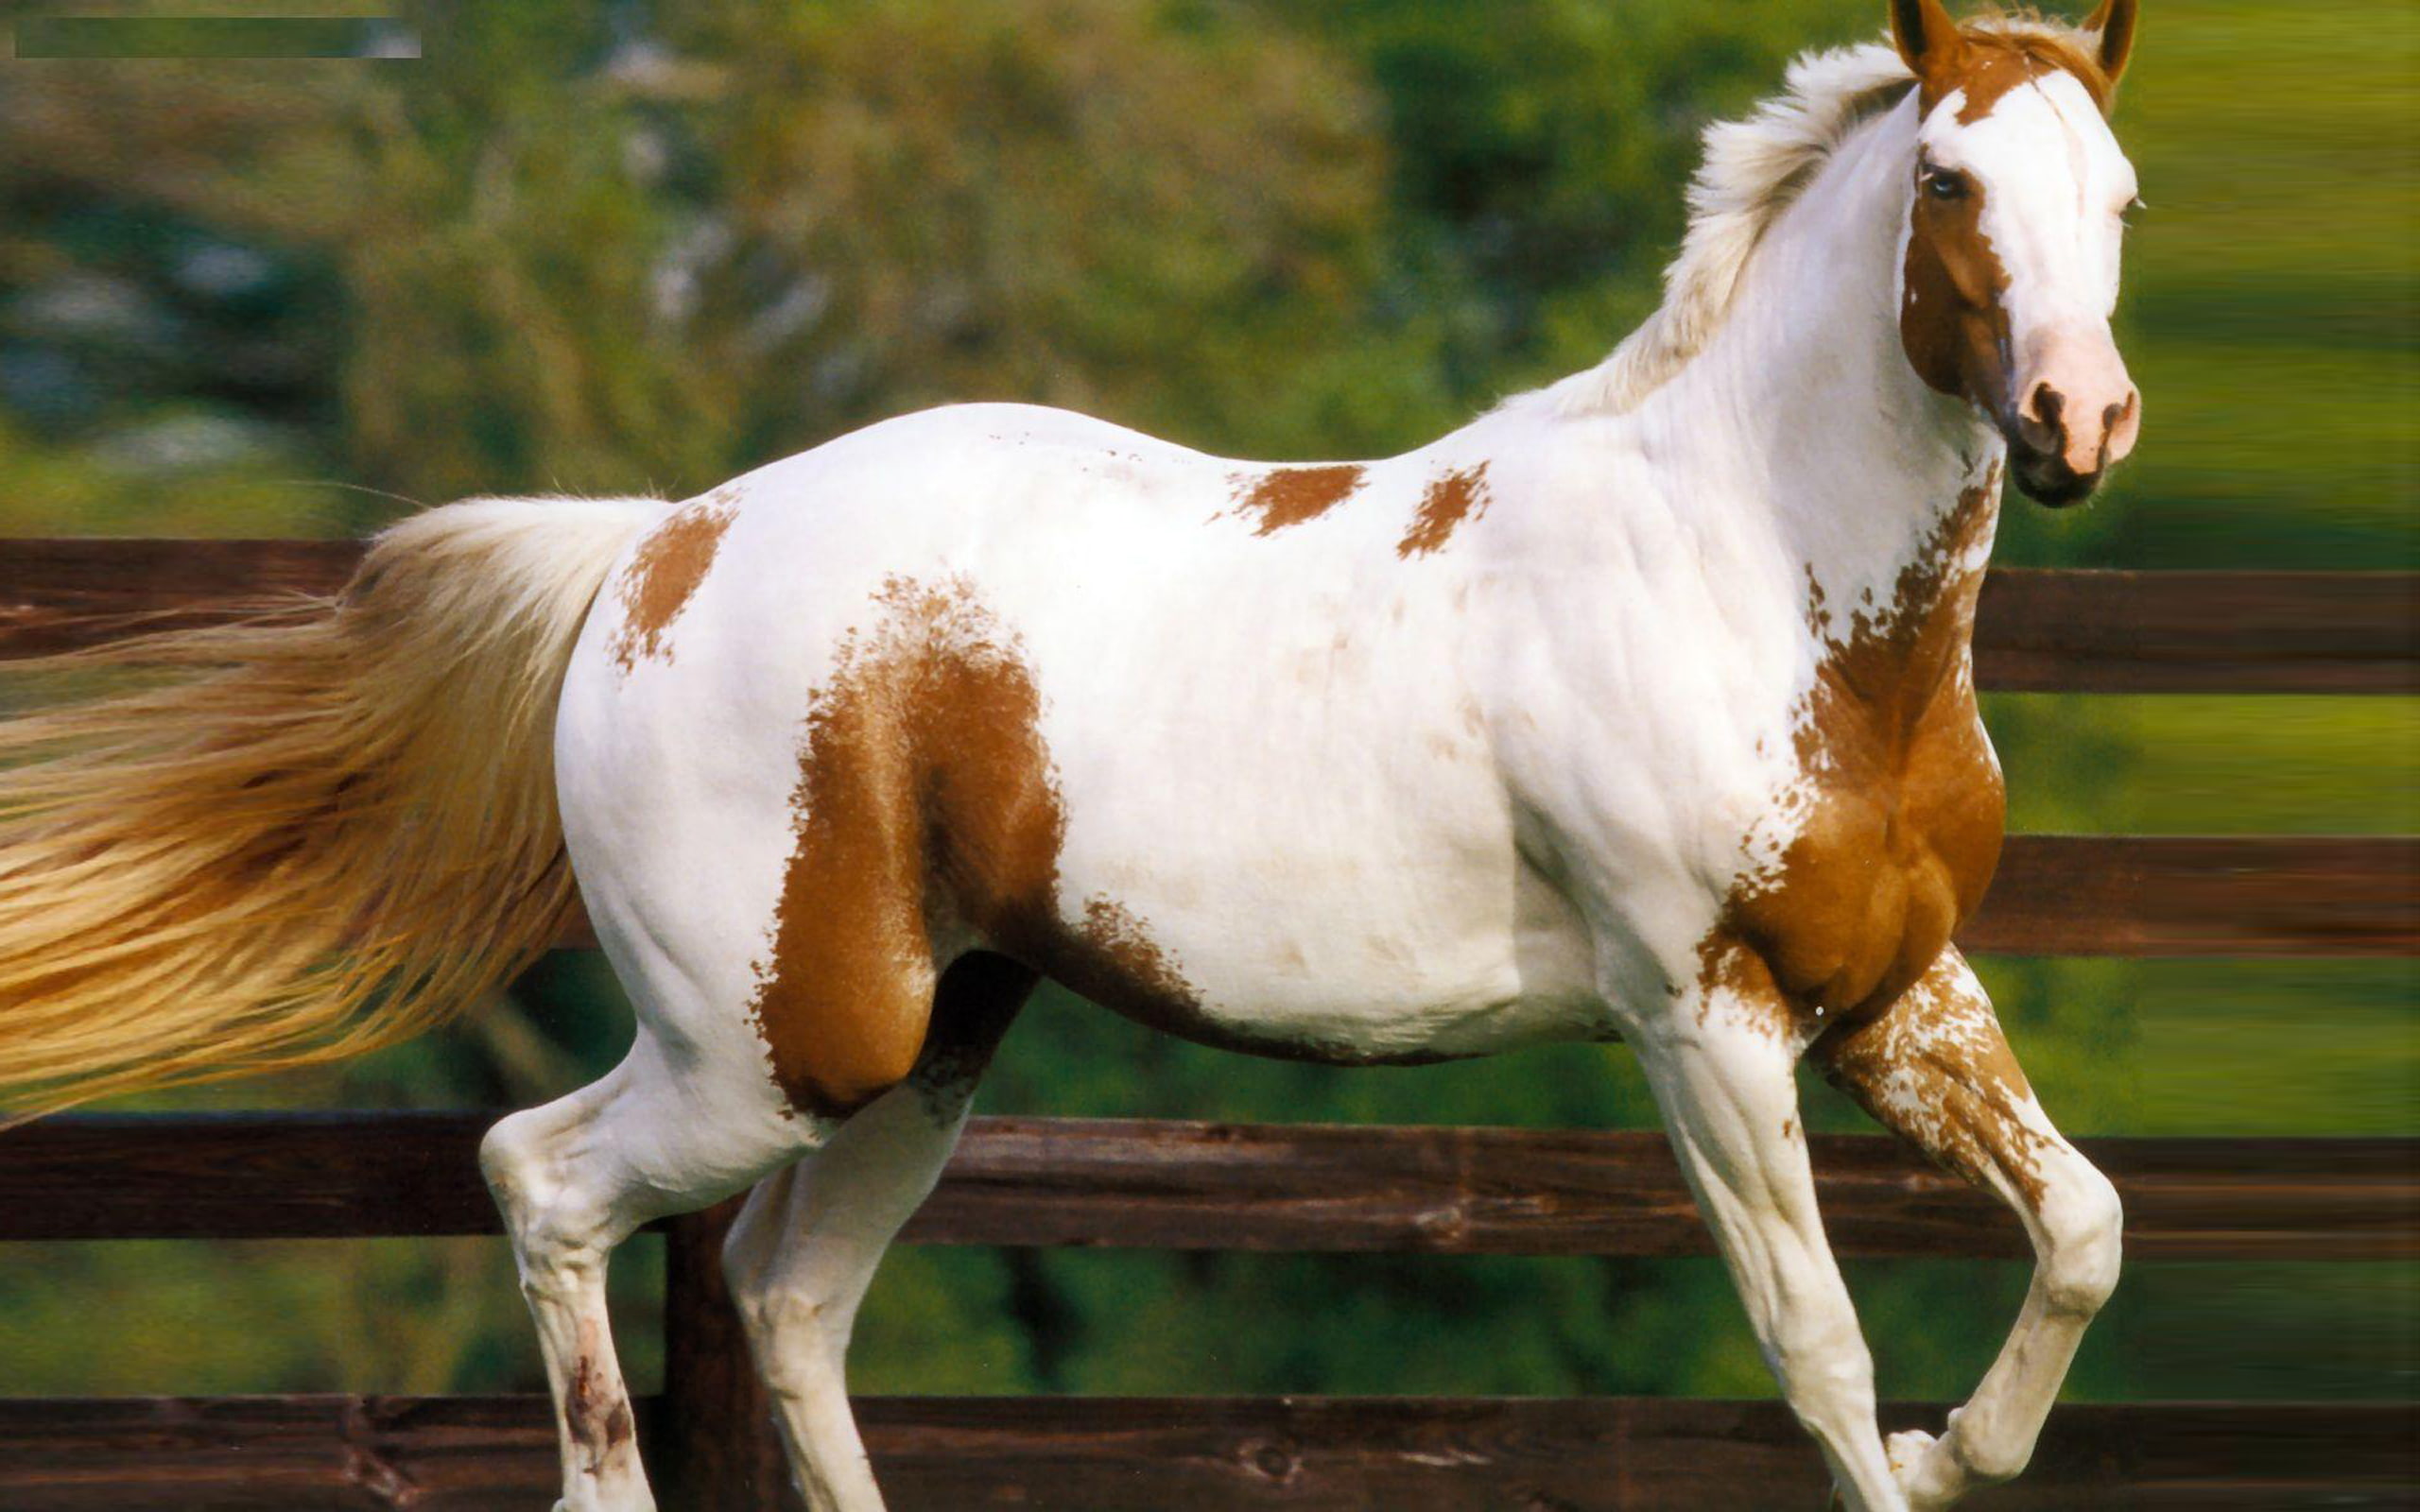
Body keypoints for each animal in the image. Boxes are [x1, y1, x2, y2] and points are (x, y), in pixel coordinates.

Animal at [0, 3, 2145, 1508]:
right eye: (1950, 185)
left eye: (2118, 194)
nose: (2077, 417)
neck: (1754, 573)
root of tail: (655, 540)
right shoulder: (1694, 1016)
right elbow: (1818, 1352)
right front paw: (1915, 1436)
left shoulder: (1889, 994)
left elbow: (2085, 1230)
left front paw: (1966, 1444)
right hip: (774, 1047)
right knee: (546, 1179)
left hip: (930, 1039)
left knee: (786, 1295)